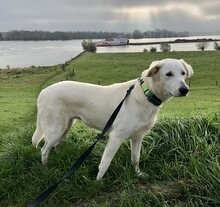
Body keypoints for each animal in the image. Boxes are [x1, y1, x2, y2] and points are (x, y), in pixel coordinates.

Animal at [32, 57, 192, 180]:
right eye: (168, 74)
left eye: (183, 73)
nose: (185, 90)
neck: (146, 95)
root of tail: (43, 92)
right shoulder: (116, 137)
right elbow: (105, 163)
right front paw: (97, 183)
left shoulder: (137, 137)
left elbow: (135, 159)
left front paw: (138, 174)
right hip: (56, 128)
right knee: (44, 149)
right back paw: (46, 169)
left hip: (66, 126)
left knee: (55, 144)